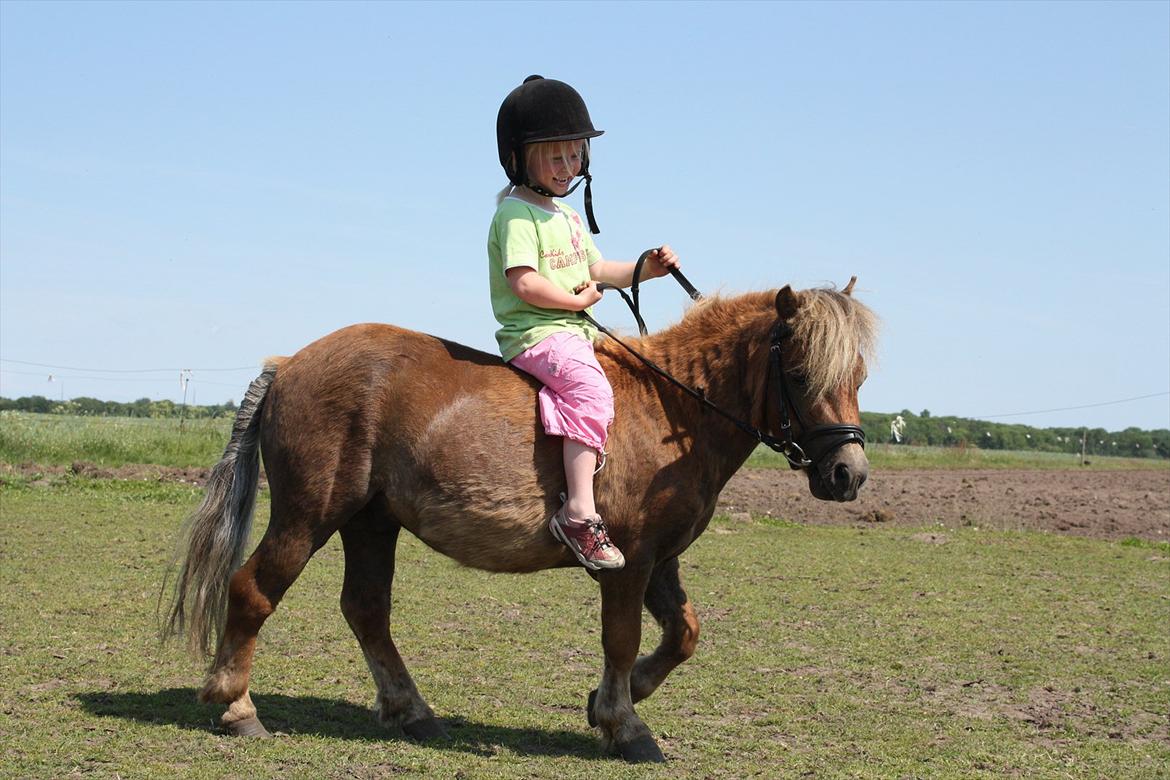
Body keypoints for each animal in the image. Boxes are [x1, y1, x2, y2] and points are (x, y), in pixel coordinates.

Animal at [162, 279, 879, 762]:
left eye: (860, 374)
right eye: (799, 372)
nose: (848, 474)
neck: (673, 408)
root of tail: (289, 364)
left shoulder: (660, 559)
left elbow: (684, 634)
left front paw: (615, 700)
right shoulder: (628, 560)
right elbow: (621, 639)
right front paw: (625, 724)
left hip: (371, 522)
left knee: (366, 610)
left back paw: (413, 712)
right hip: (311, 515)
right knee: (253, 591)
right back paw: (236, 708)